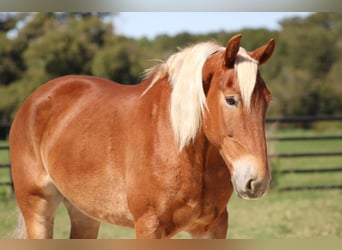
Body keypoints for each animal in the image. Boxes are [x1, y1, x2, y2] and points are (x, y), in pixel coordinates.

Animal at [9, 34, 276, 239]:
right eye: (231, 100)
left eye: (267, 99)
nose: (257, 181)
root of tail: (34, 100)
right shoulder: (149, 226)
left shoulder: (212, 228)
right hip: (38, 209)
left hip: (84, 214)